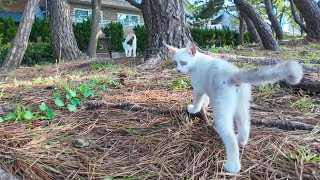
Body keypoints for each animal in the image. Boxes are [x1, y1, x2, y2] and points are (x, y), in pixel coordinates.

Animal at [166, 41, 304, 174]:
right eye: (175, 63)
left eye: (183, 62)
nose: (178, 70)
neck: (197, 62)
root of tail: (232, 74)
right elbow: (206, 98)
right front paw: (205, 104)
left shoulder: (198, 88)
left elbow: (197, 101)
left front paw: (194, 109)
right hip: (242, 107)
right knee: (245, 125)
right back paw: (241, 141)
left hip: (222, 111)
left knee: (230, 138)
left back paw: (232, 167)